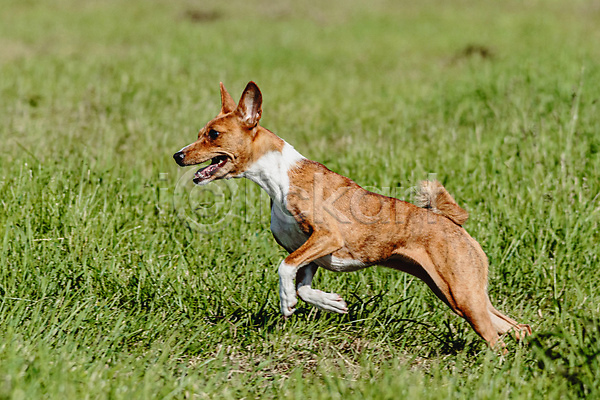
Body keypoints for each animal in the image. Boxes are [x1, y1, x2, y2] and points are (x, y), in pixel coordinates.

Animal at [173, 82, 528, 350]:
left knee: (498, 339)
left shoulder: (327, 237)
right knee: (516, 328)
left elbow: (284, 269)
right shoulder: (310, 253)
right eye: (202, 132)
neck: (278, 178)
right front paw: (331, 302)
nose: (177, 155)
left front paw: (286, 301)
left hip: (462, 295)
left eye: (213, 134)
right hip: (455, 293)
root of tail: (453, 223)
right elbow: (303, 287)